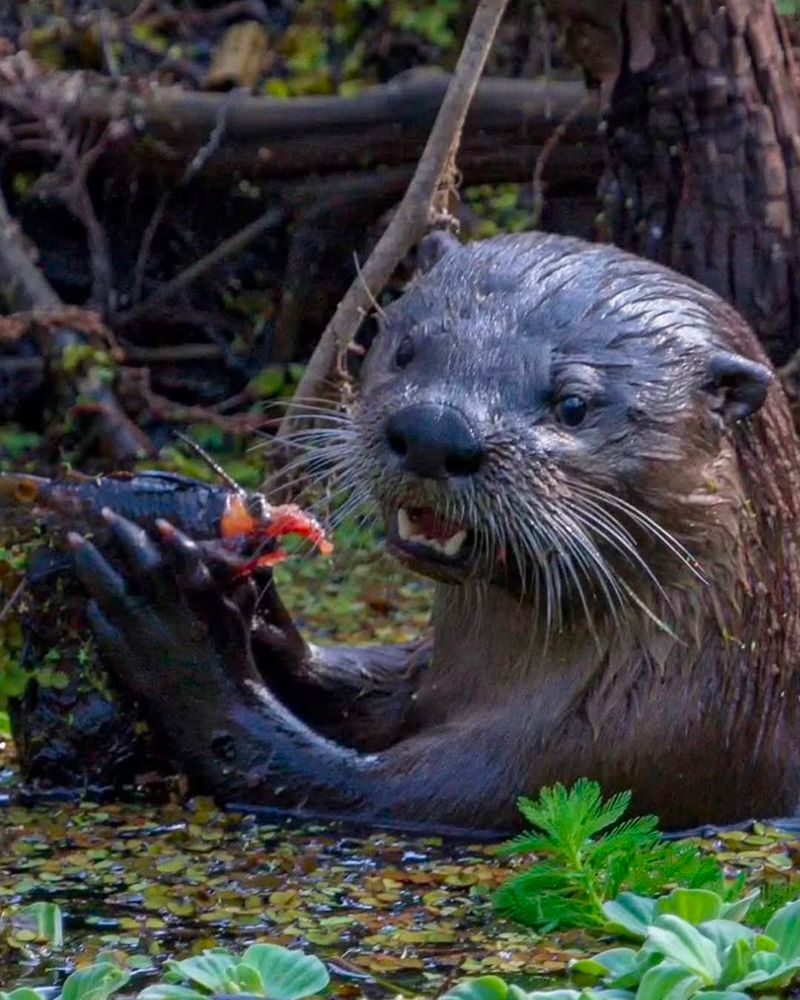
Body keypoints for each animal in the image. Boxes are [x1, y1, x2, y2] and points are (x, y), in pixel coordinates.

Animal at [68, 232, 800, 831]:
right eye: (406, 348)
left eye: (572, 404)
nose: (432, 431)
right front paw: (253, 602)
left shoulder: (602, 763)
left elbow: (321, 781)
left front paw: (179, 627)